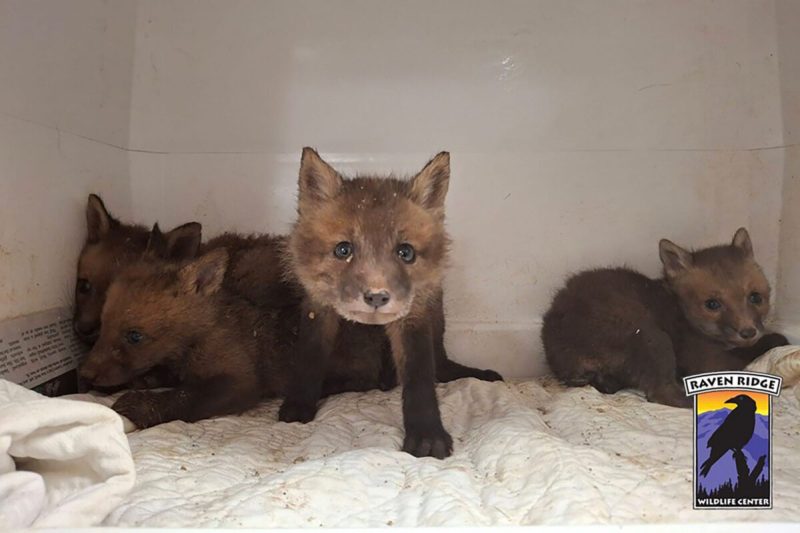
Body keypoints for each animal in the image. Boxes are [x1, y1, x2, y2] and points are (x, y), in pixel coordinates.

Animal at [278, 148, 502, 459]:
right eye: (343, 250)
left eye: (405, 252)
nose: (376, 297)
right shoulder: (317, 306)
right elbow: (309, 357)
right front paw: (300, 402)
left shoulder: (413, 315)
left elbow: (420, 377)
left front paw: (427, 436)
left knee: (440, 362)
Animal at [541, 228, 789, 407]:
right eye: (712, 304)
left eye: (755, 297)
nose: (748, 332)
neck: (681, 310)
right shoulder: (709, 363)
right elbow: (766, 344)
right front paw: (775, 339)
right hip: (652, 338)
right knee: (660, 393)